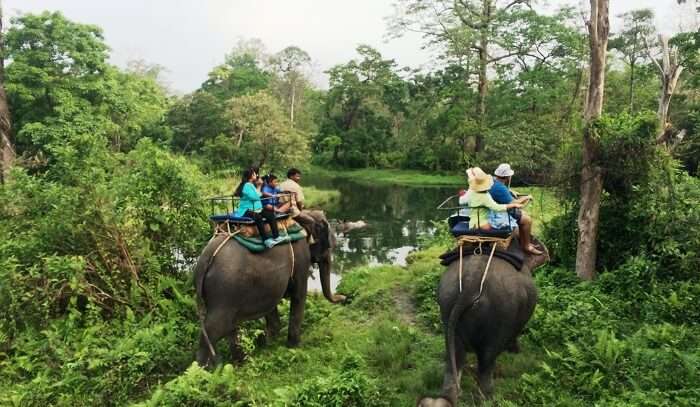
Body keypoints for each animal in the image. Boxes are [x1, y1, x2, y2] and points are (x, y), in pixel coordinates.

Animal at [193, 210, 346, 366]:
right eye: (328, 246)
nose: (343, 297)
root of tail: (205, 259)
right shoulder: (301, 257)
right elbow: (299, 295)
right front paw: (295, 347)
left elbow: (272, 305)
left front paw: (270, 344)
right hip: (224, 292)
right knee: (213, 329)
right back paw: (206, 370)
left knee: (229, 327)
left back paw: (238, 362)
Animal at [418, 237, 548, 406]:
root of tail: (471, 283)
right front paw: (516, 352)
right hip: (501, 312)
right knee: (487, 359)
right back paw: (489, 399)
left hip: (447, 304)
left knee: (455, 356)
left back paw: (448, 398)